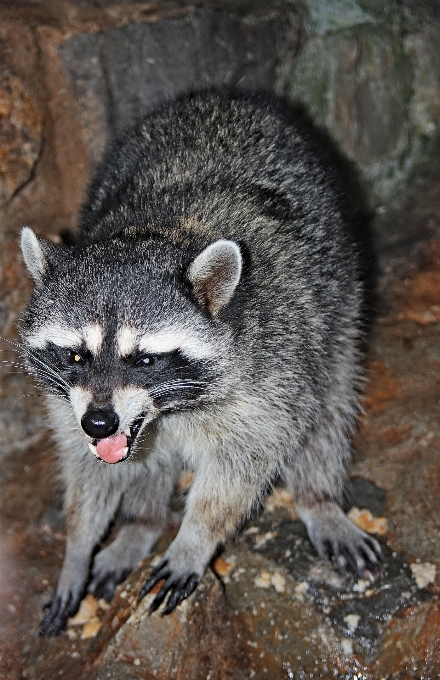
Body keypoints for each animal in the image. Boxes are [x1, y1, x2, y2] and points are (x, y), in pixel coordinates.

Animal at [18, 91, 380, 636]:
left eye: (145, 359)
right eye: (77, 354)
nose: (100, 421)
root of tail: (227, 95)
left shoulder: (273, 367)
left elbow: (243, 464)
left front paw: (194, 538)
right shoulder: (69, 402)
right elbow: (89, 468)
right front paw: (77, 548)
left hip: (338, 299)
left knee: (329, 406)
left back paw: (318, 499)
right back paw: (141, 526)